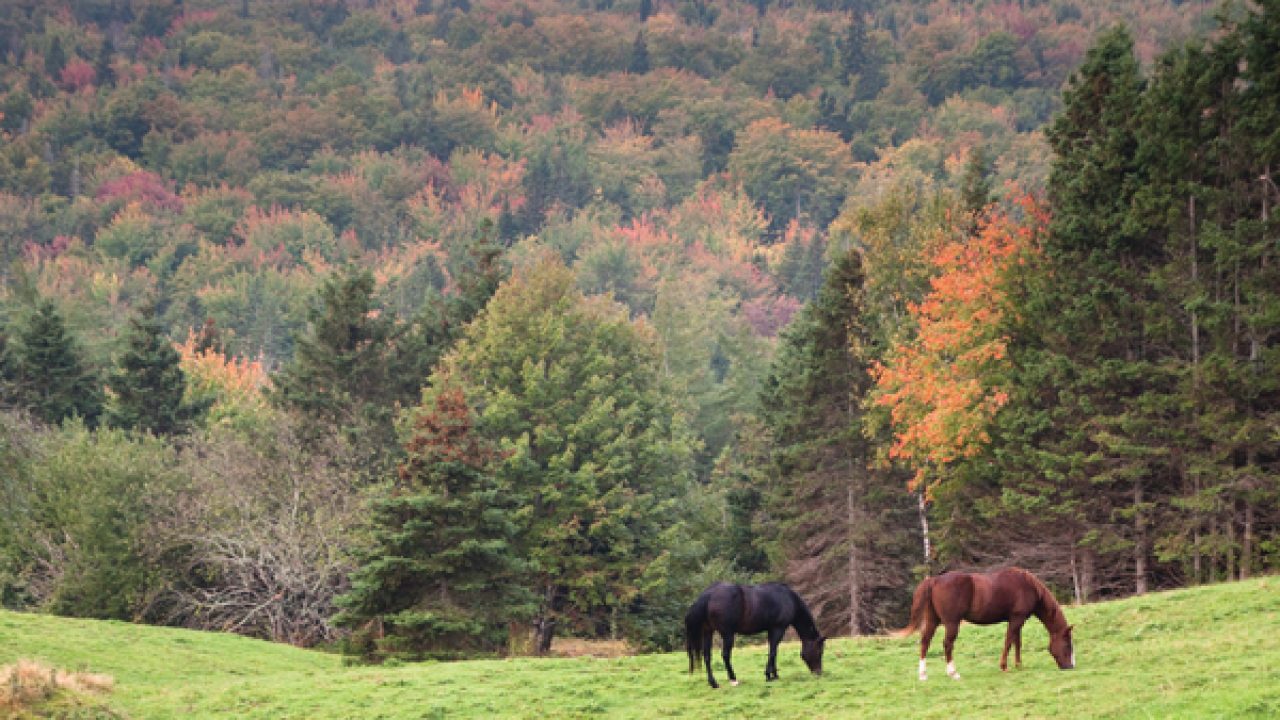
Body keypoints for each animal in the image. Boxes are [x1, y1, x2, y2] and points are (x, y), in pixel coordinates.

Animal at [686, 579, 824, 686]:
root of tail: (708, 594)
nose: (819, 673)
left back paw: (713, 683)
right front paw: (769, 675)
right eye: (819, 651)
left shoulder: (771, 630)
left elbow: (773, 651)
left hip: (707, 632)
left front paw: (774, 675)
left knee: (707, 656)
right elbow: (773, 652)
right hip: (727, 634)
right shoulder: (778, 628)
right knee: (725, 655)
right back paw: (733, 678)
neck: (788, 598)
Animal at [896, 566, 1075, 676]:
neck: (1028, 586)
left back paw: (923, 675)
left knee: (925, 641)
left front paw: (1018, 665)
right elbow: (1009, 641)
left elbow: (1017, 642)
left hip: (933, 620)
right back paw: (953, 673)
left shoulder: (1017, 620)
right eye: (1067, 645)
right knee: (947, 644)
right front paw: (1004, 667)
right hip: (952, 623)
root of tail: (934, 580)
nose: (1070, 667)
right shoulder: (1016, 619)